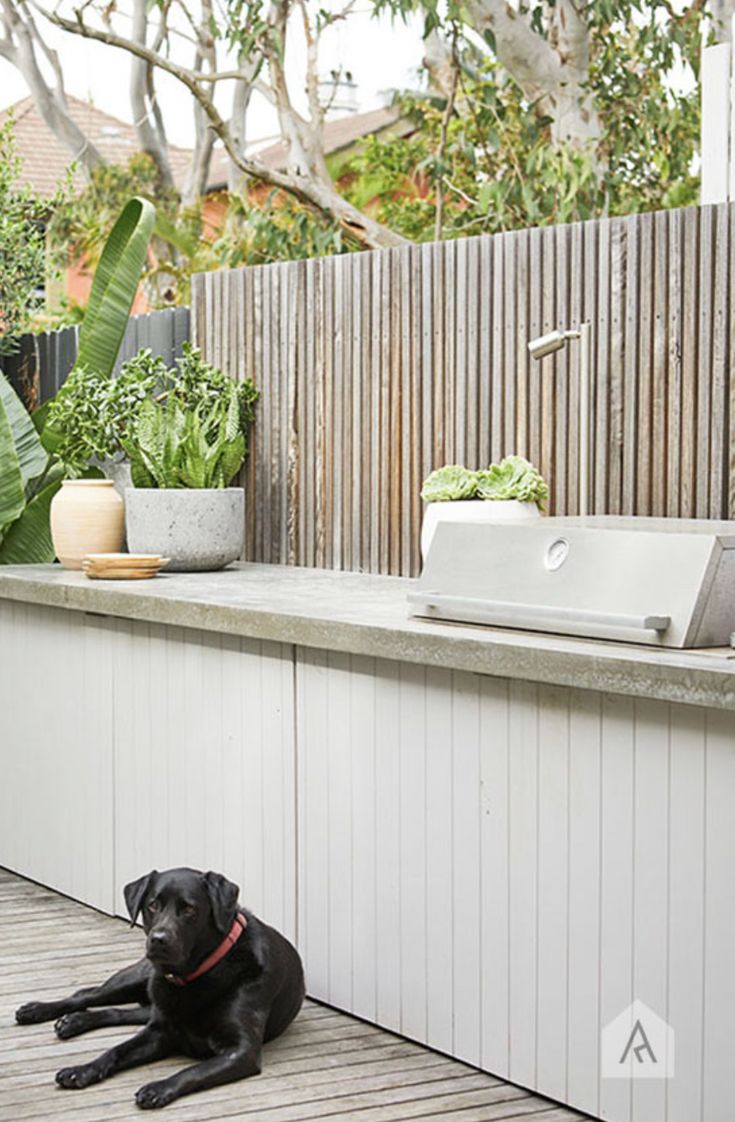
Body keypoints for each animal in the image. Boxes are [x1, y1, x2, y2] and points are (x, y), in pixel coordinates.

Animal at [16, 866, 305, 1104]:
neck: (196, 976)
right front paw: (83, 1069)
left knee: (122, 1012)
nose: (158, 939)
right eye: (153, 905)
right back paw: (39, 1010)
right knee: (88, 993)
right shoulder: (158, 1032)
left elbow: (194, 1070)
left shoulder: (241, 1050)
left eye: (189, 909)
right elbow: (116, 1050)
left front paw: (158, 1088)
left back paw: (75, 1021)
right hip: (137, 978)